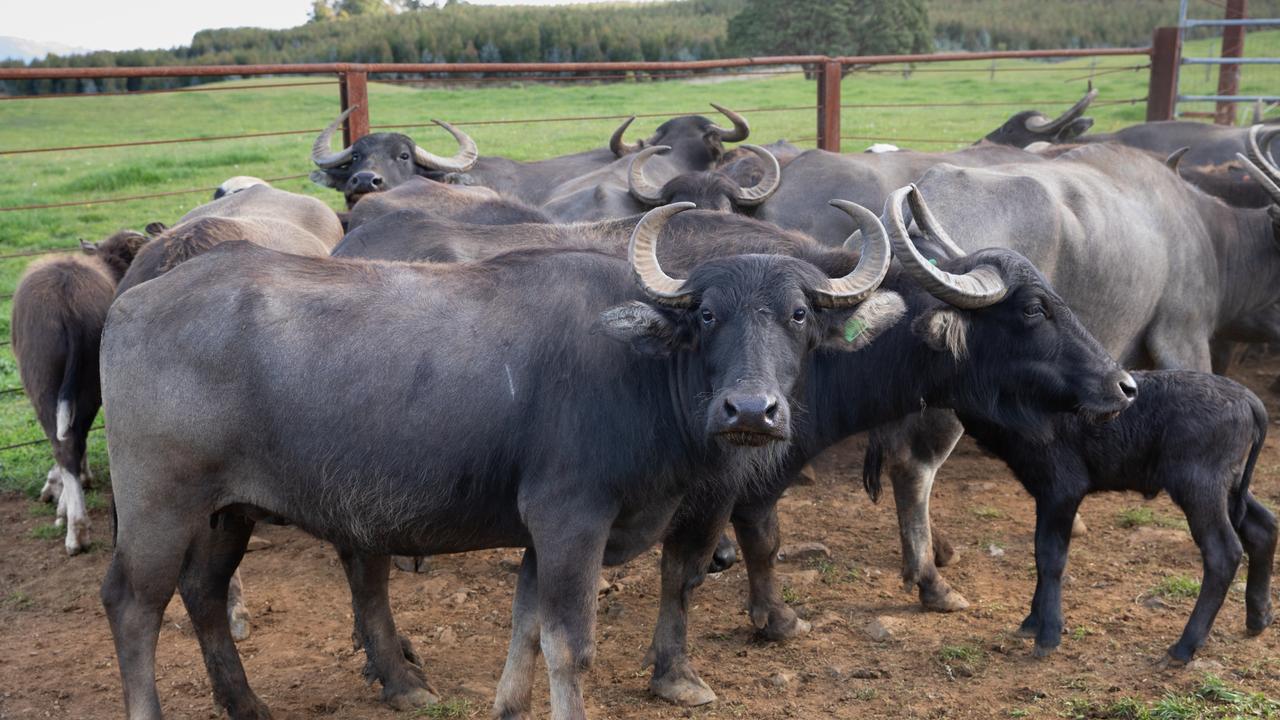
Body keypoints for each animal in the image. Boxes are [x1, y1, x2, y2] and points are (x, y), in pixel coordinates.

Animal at [10, 226, 147, 550]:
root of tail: (67, 303)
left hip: (43, 381)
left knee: (64, 443)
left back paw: (76, 530)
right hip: (89, 380)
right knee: (77, 435)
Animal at [97, 203, 901, 717]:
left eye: (798, 314)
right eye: (707, 316)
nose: (751, 412)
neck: (639, 368)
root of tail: (131, 301)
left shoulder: (541, 536)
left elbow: (526, 629)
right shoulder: (571, 519)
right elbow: (570, 645)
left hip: (227, 511)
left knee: (204, 594)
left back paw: (248, 704)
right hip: (159, 507)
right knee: (134, 605)